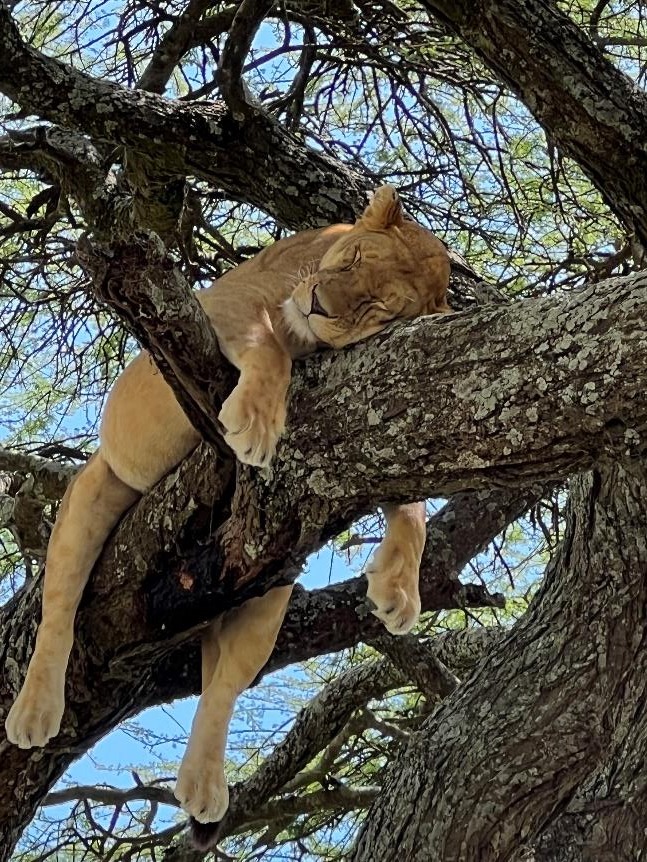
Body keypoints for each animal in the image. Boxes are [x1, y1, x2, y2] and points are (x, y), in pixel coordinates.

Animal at [5, 186, 450, 832]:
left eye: (378, 306)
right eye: (351, 259)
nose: (317, 304)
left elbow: (409, 499)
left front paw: (399, 586)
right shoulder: (222, 304)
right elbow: (269, 345)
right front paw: (257, 423)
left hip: (269, 586)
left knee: (221, 688)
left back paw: (203, 784)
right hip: (96, 492)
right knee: (59, 610)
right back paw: (37, 710)